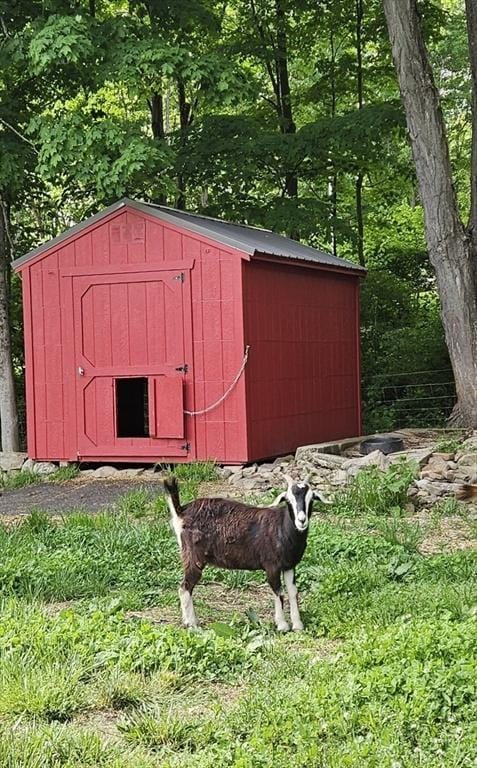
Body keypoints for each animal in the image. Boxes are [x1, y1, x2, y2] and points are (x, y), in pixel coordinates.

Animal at [162, 474, 330, 632]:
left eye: (311, 499)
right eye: (288, 500)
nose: (301, 520)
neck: (282, 527)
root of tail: (181, 511)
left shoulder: (289, 565)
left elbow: (292, 591)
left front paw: (297, 625)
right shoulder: (272, 565)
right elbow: (278, 591)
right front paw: (282, 625)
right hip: (192, 556)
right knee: (185, 587)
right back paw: (192, 624)